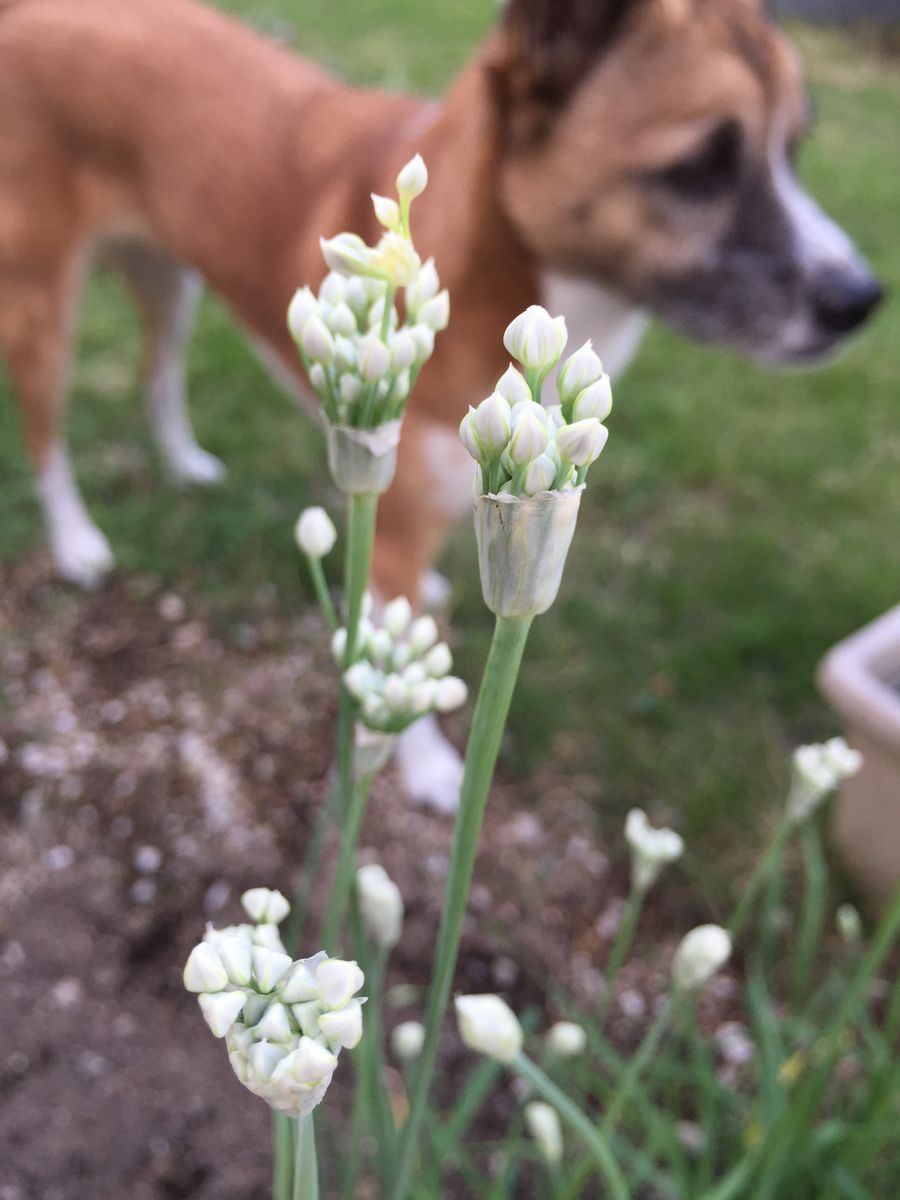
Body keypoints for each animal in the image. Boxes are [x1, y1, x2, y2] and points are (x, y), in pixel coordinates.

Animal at [0, 0, 888, 806]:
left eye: (797, 149)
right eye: (698, 166)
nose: (859, 299)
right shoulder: (390, 521)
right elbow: (392, 662)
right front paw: (428, 768)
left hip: (168, 278)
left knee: (158, 374)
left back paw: (183, 459)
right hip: (44, 302)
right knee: (46, 437)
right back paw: (78, 540)